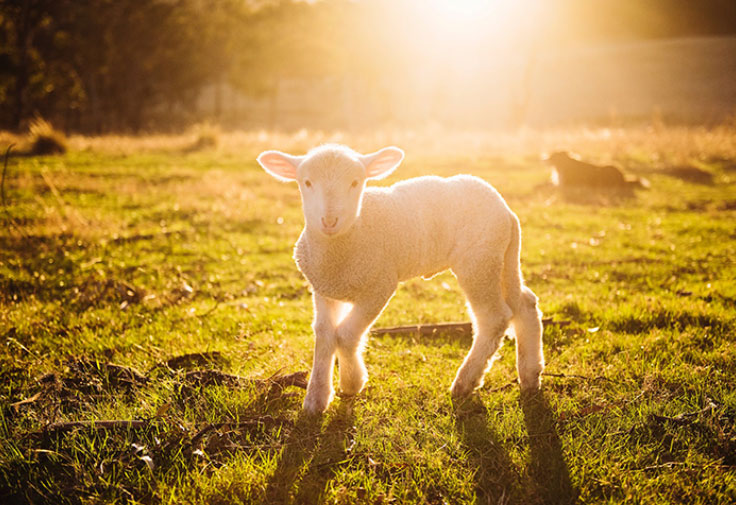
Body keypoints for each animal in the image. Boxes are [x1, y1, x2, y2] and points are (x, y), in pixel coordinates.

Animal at [256, 144, 544, 412]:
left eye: (355, 182)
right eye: (306, 182)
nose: (329, 221)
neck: (346, 242)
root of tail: (507, 211)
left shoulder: (380, 285)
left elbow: (346, 334)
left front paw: (351, 382)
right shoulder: (324, 289)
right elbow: (325, 334)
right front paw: (316, 399)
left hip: (479, 261)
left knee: (493, 319)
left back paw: (465, 382)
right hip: (502, 258)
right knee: (525, 303)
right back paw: (530, 375)